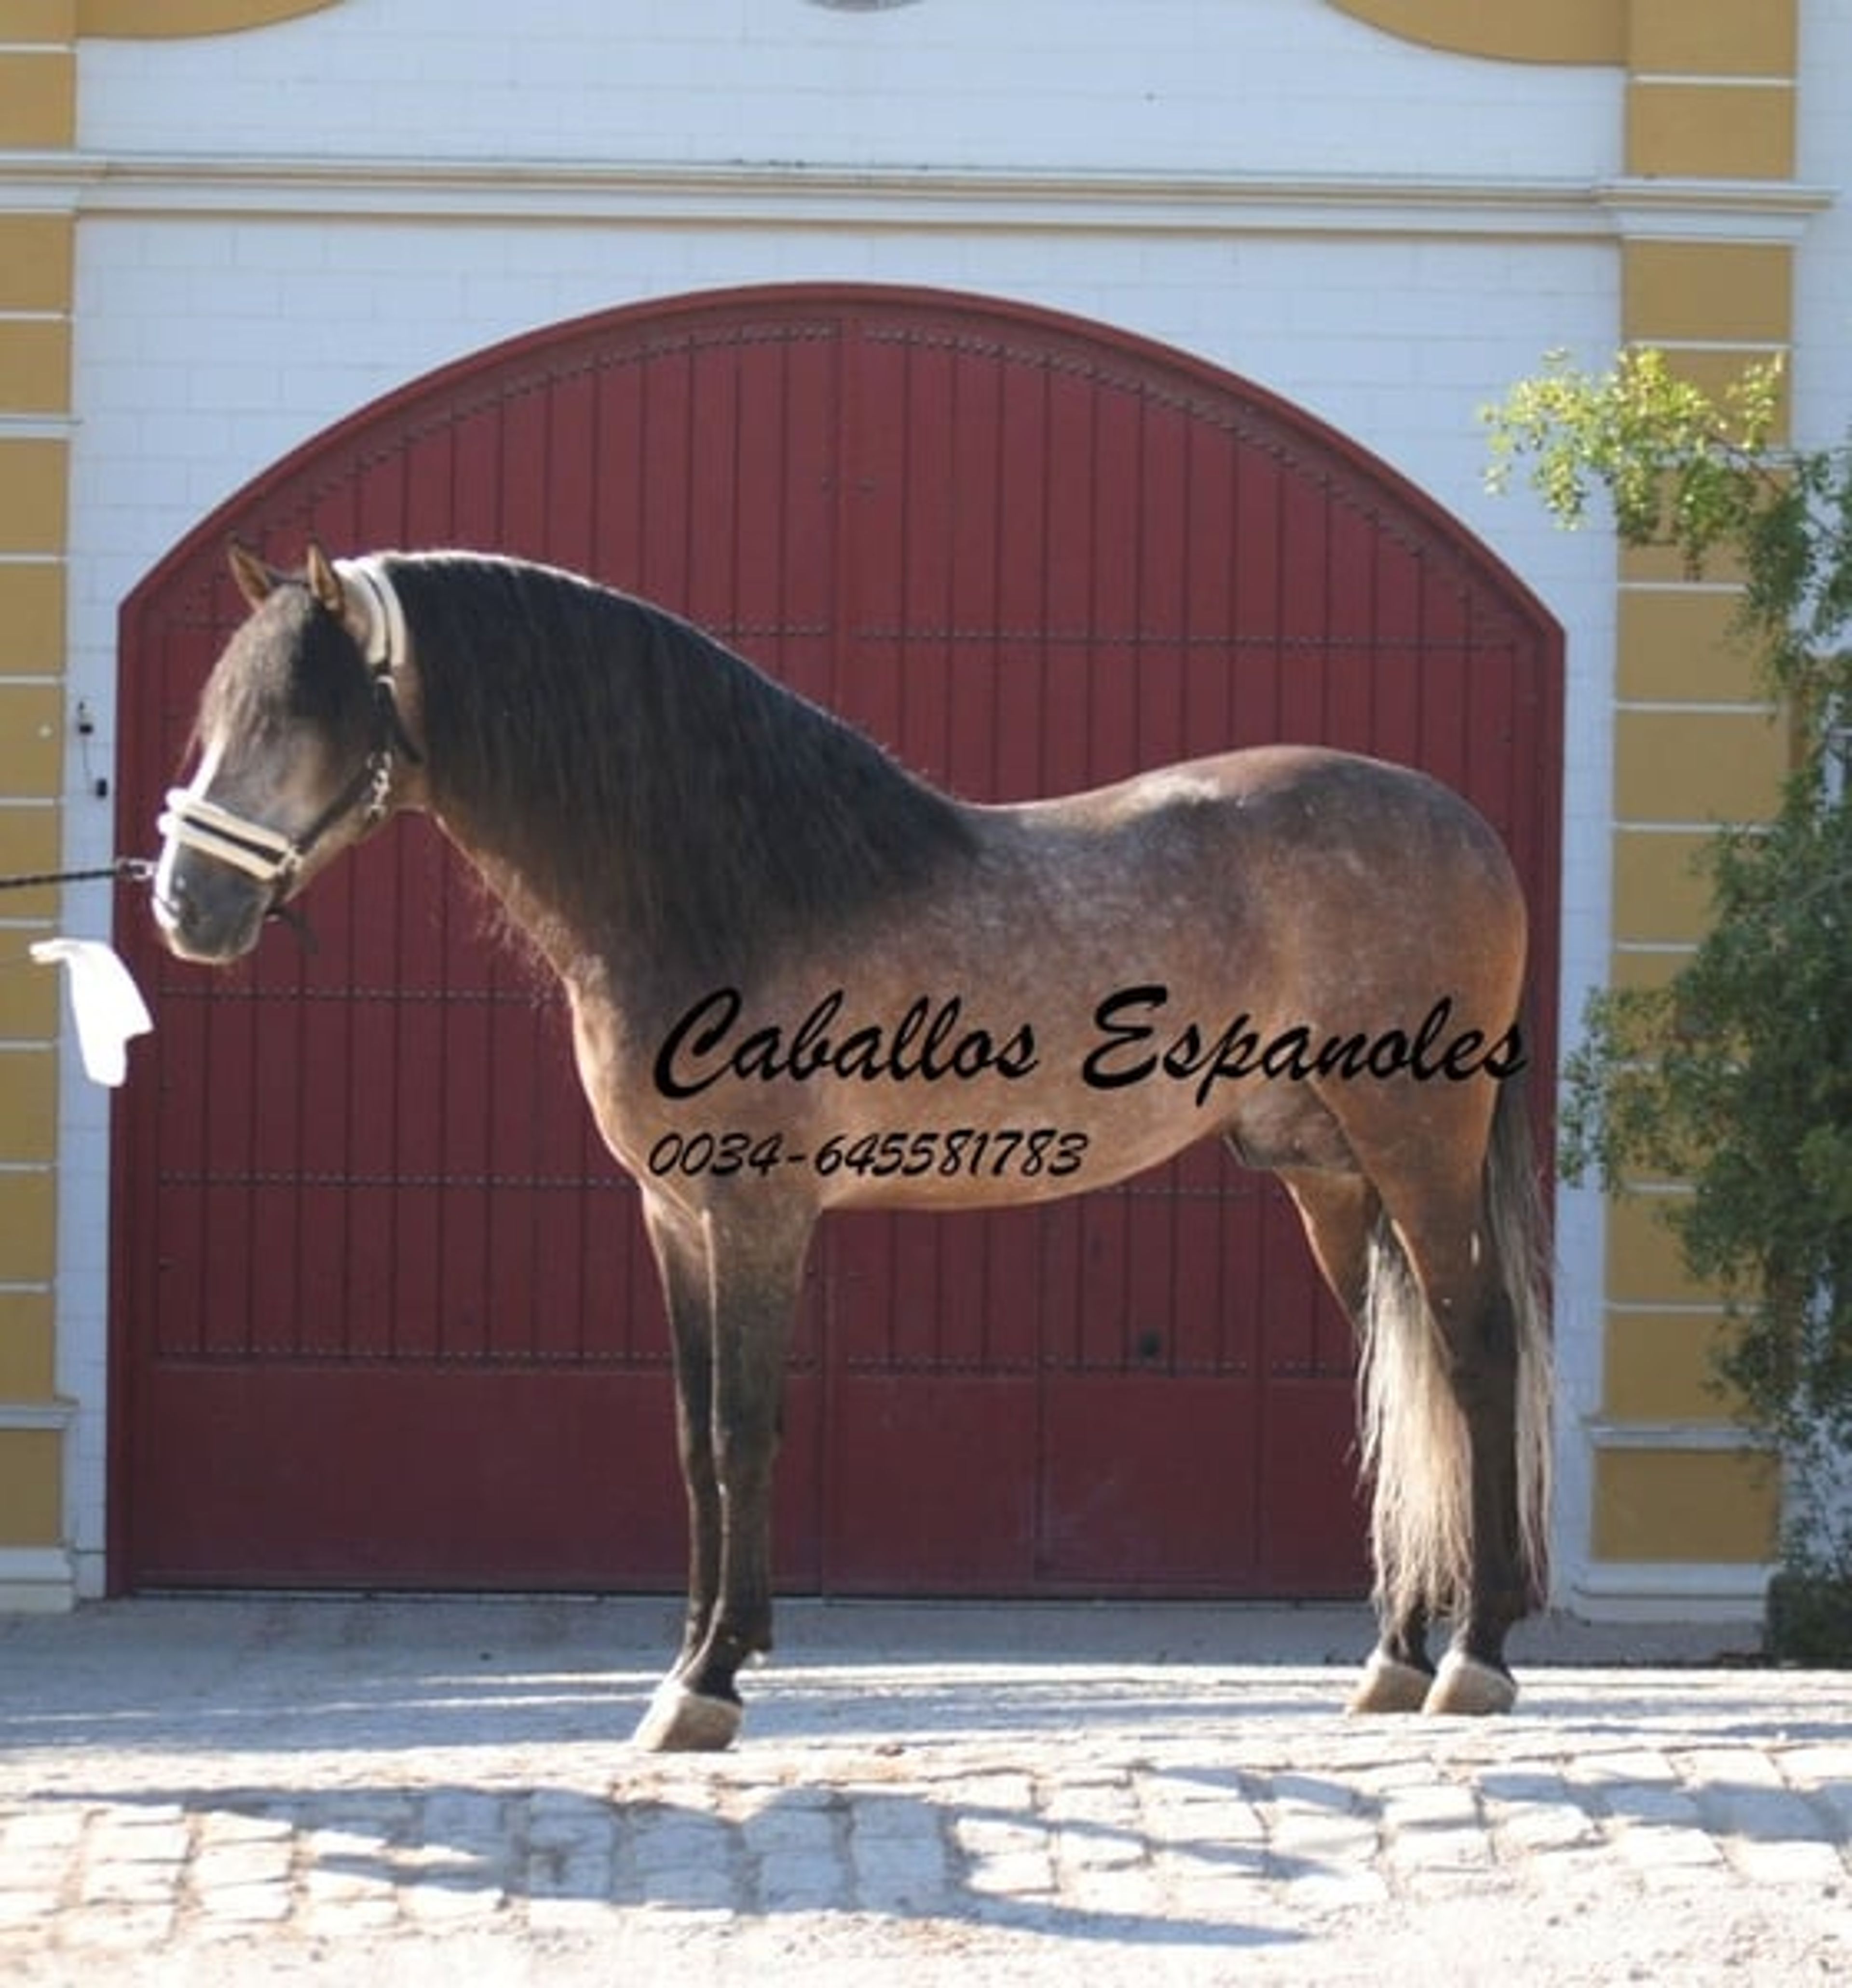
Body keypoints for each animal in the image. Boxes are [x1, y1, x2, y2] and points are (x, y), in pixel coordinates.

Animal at [152, 542, 1552, 1751]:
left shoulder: (758, 1208)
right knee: (1395, 1370)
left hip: (1418, 1146)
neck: (726, 888)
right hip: (1328, 1173)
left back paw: (1477, 1655)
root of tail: (1465, 827)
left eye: (293, 719)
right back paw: (1393, 1654)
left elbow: (743, 1428)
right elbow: (691, 1438)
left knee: (1473, 1352)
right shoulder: (672, 1213)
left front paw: (709, 1680)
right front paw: (692, 1656)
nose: (183, 907)